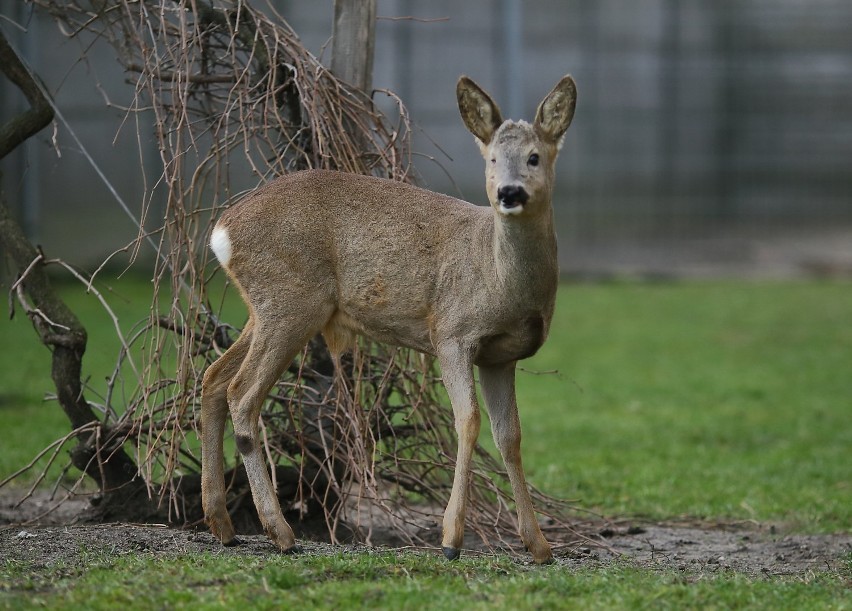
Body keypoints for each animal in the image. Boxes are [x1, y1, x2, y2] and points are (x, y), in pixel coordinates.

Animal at [201, 74, 576, 568]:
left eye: (534, 156)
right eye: (493, 158)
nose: (508, 193)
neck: (499, 279)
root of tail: (221, 231)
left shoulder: (500, 357)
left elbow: (509, 436)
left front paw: (539, 546)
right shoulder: (451, 332)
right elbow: (468, 421)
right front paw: (451, 541)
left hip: (265, 308)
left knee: (212, 378)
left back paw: (223, 527)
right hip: (290, 303)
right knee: (241, 394)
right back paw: (281, 534)